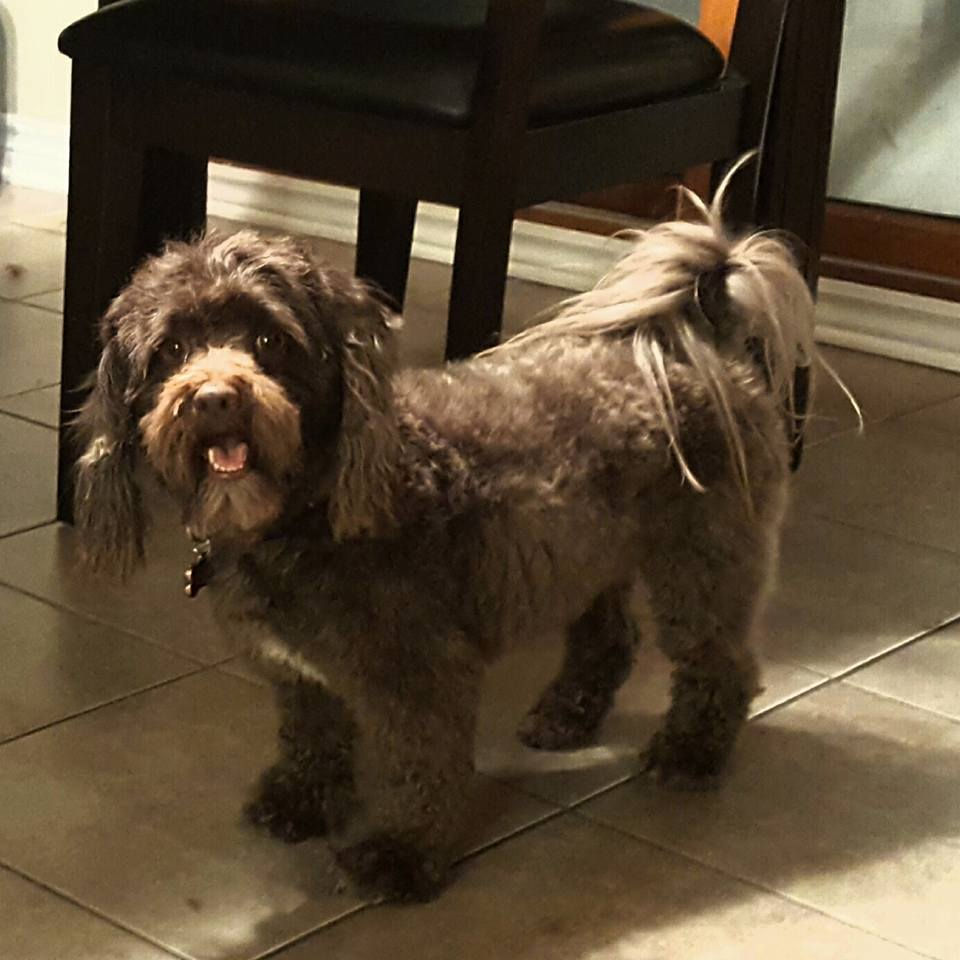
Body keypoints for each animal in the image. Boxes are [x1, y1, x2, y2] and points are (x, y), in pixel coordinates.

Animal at [73, 172, 817, 901]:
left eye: (269, 340)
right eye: (170, 349)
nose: (215, 398)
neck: (307, 512)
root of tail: (699, 344)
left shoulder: (421, 671)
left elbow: (422, 764)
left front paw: (403, 854)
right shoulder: (300, 675)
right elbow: (312, 734)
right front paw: (303, 799)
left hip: (705, 560)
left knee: (722, 661)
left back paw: (692, 753)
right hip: (589, 553)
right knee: (611, 637)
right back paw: (568, 715)